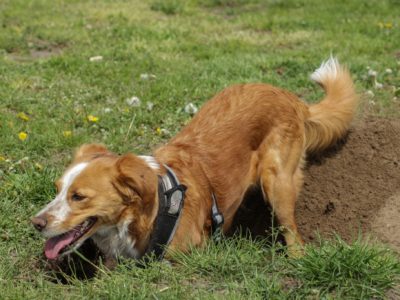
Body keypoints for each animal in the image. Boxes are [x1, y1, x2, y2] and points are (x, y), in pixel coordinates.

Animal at [30, 56, 356, 262]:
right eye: (57, 190)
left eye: (79, 196)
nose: (35, 223)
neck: (154, 208)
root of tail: (293, 98)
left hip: (277, 182)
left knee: (292, 233)